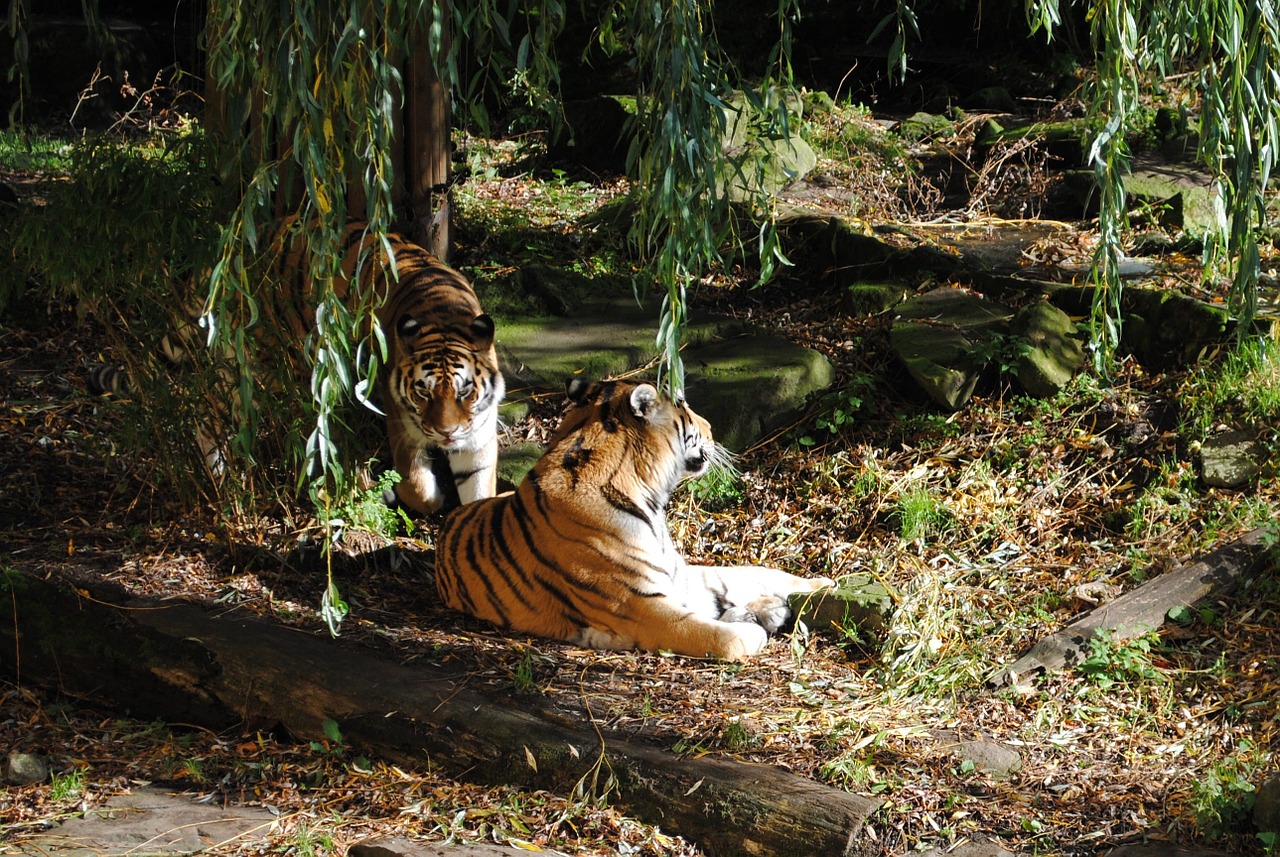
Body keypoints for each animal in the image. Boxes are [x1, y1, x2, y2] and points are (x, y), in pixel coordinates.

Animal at [435, 378, 834, 665]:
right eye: (686, 409)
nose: (711, 427)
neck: (648, 497)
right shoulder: (640, 606)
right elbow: (720, 636)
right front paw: (751, 631)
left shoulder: (677, 574)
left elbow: (755, 572)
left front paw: (821, 584)